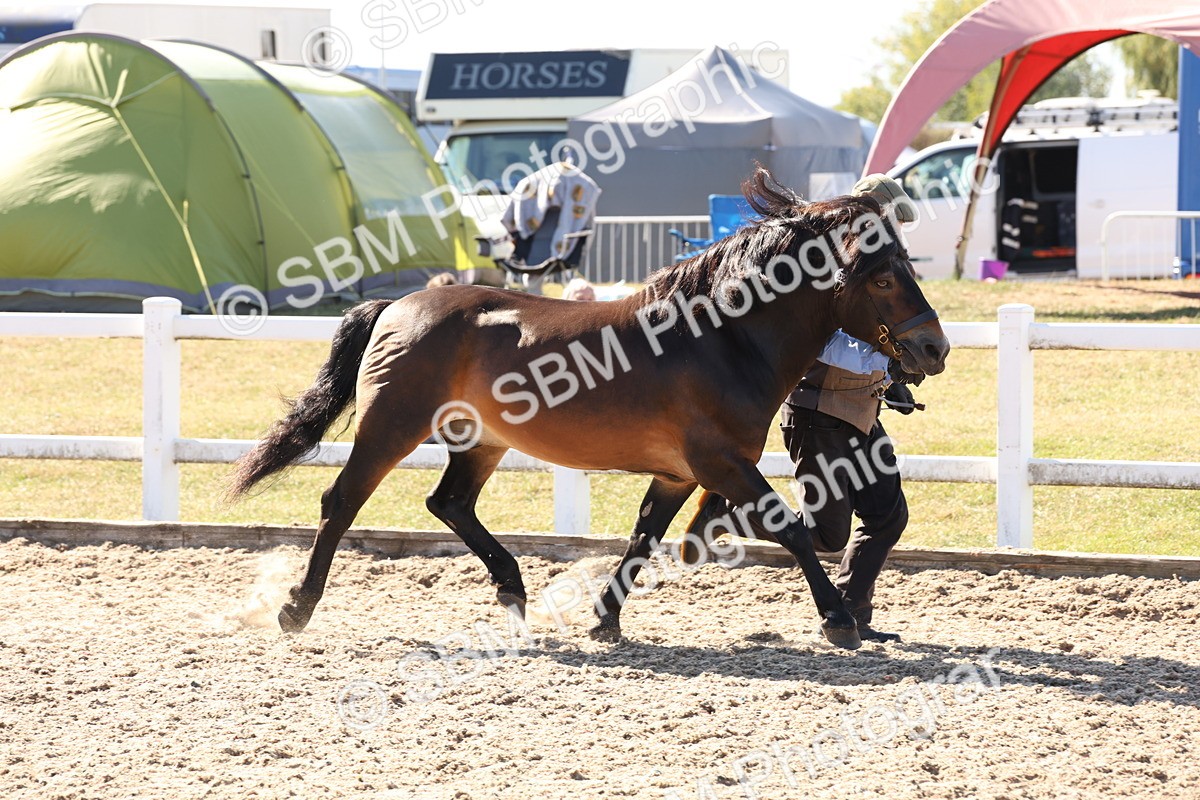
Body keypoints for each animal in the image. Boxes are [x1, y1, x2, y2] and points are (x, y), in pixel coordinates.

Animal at [227, 167, 950, 650]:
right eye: (882, 277)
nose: (934, 347)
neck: (720, 339)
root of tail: (397, 306)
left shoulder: (678, 473)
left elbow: (644, 539)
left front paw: (606, 618)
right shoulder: (719, 463)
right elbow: (791, 527)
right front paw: (839, 620)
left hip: (482, 439)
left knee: (448, 503)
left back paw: (513, 590)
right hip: (392, 426)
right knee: (342, 501)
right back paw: (297, 609)